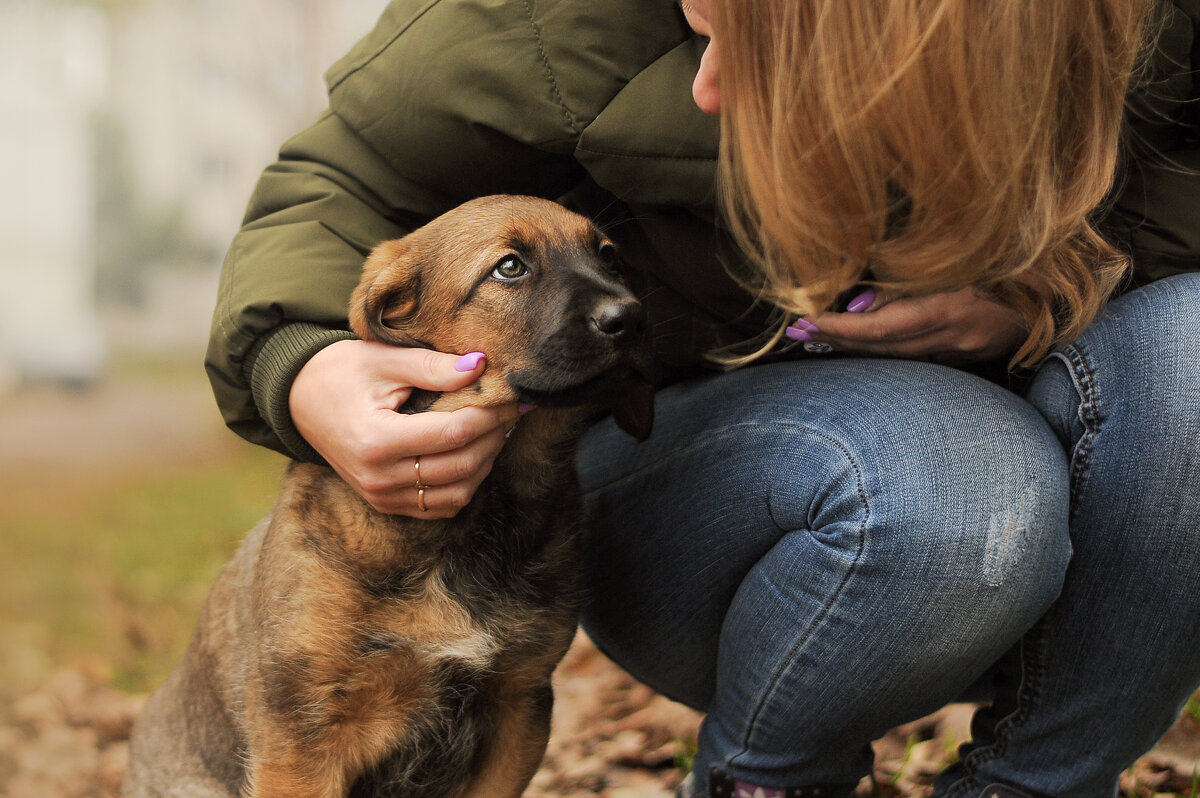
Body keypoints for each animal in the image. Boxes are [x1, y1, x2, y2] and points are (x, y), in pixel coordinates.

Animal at [121, 195, 657, 796]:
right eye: (510, 267)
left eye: (608, 257)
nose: (631, 318)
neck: (479, 518)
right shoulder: (301, 736)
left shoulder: (519, 703)